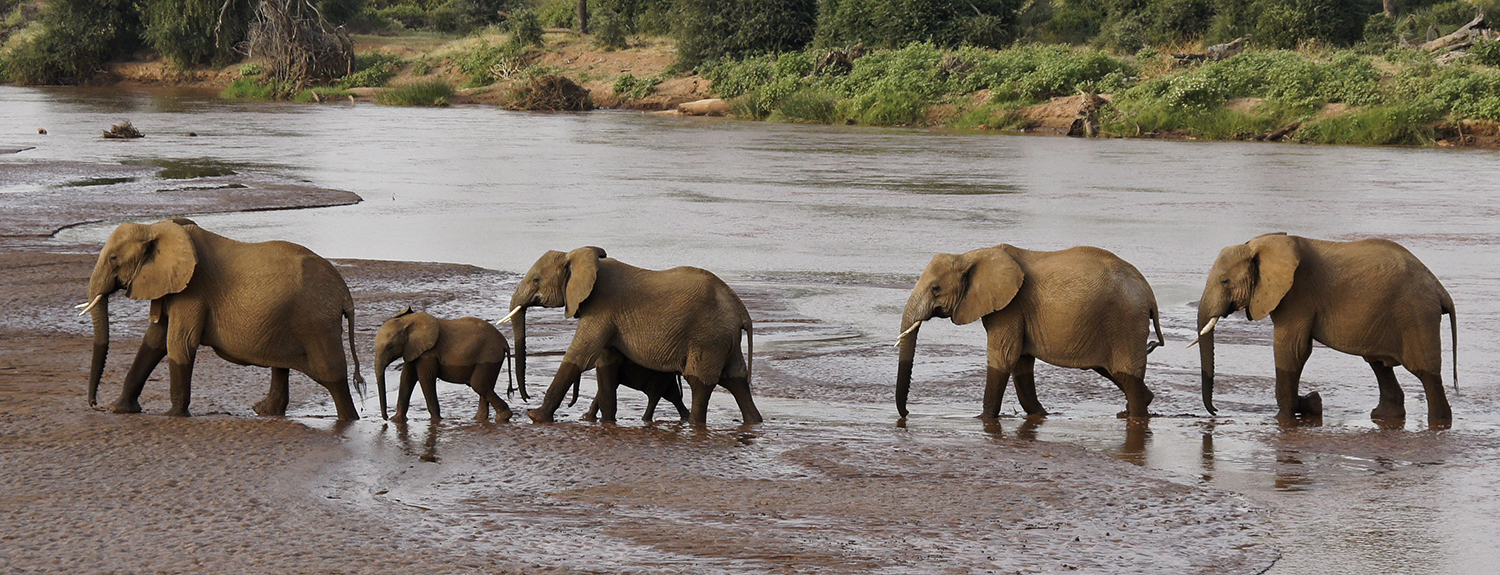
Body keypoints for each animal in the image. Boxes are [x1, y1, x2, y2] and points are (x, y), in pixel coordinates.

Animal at [80, 219, 364, 420]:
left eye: (113, 258)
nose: (93, 404)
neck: (155, 228)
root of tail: (344, 294)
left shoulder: (193, 290)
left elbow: (179, 343)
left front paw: (174, 416)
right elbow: (153, 341)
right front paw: (120, 409)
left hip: (316, 322)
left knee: (332, 375)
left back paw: (349, 420)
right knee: (281, 365)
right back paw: (264, 412)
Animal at [373, 306, 516, 423]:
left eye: (390, 347)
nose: (385, 418)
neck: (409, 321)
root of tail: (504, 343)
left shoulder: (428, 352)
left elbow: (425, 378)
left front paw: (436, 421)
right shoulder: (412, 349)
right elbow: (406, 378)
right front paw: (396, 420)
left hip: (489, 356)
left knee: (479, 385)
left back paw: (503, 417)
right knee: (484, 386)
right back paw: (478, 419)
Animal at [504, 247, 762, 426]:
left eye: (536, 280)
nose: (524, 397)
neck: (577, 256)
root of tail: (742, 311)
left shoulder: (601, 307)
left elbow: (580, 355)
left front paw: (536, 417)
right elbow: (606, 363)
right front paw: (606, 422)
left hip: (708, 339)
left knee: (699, 381)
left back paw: (694, 424)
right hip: (724, 339)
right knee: (736, 379)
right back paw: (754, 422)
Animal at [894, 243, 1164, 420]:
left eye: (935, 288)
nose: (907, 413)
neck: (970, 255)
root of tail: (1150, 295)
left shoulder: (1010, 306)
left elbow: (1003, 357)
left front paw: (983, 419)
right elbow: (1021, 362)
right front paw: (1039, 415)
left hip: (1125, 322)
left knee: (1125, 373)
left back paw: (1137, 415)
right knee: (1112, 370)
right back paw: (1136, 407)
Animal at [1188, 231, 1458, 426]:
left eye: (1225, 281)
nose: (1215, 411)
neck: (1261, 244)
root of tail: (1439, 289)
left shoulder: (1297, 295)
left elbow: (1292, 351)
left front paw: (1286, 416)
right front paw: (1312, 403)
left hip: (1416, 316)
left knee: (1425, 372)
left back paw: (1439, 421)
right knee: (1378, 364)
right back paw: (1383, 416)